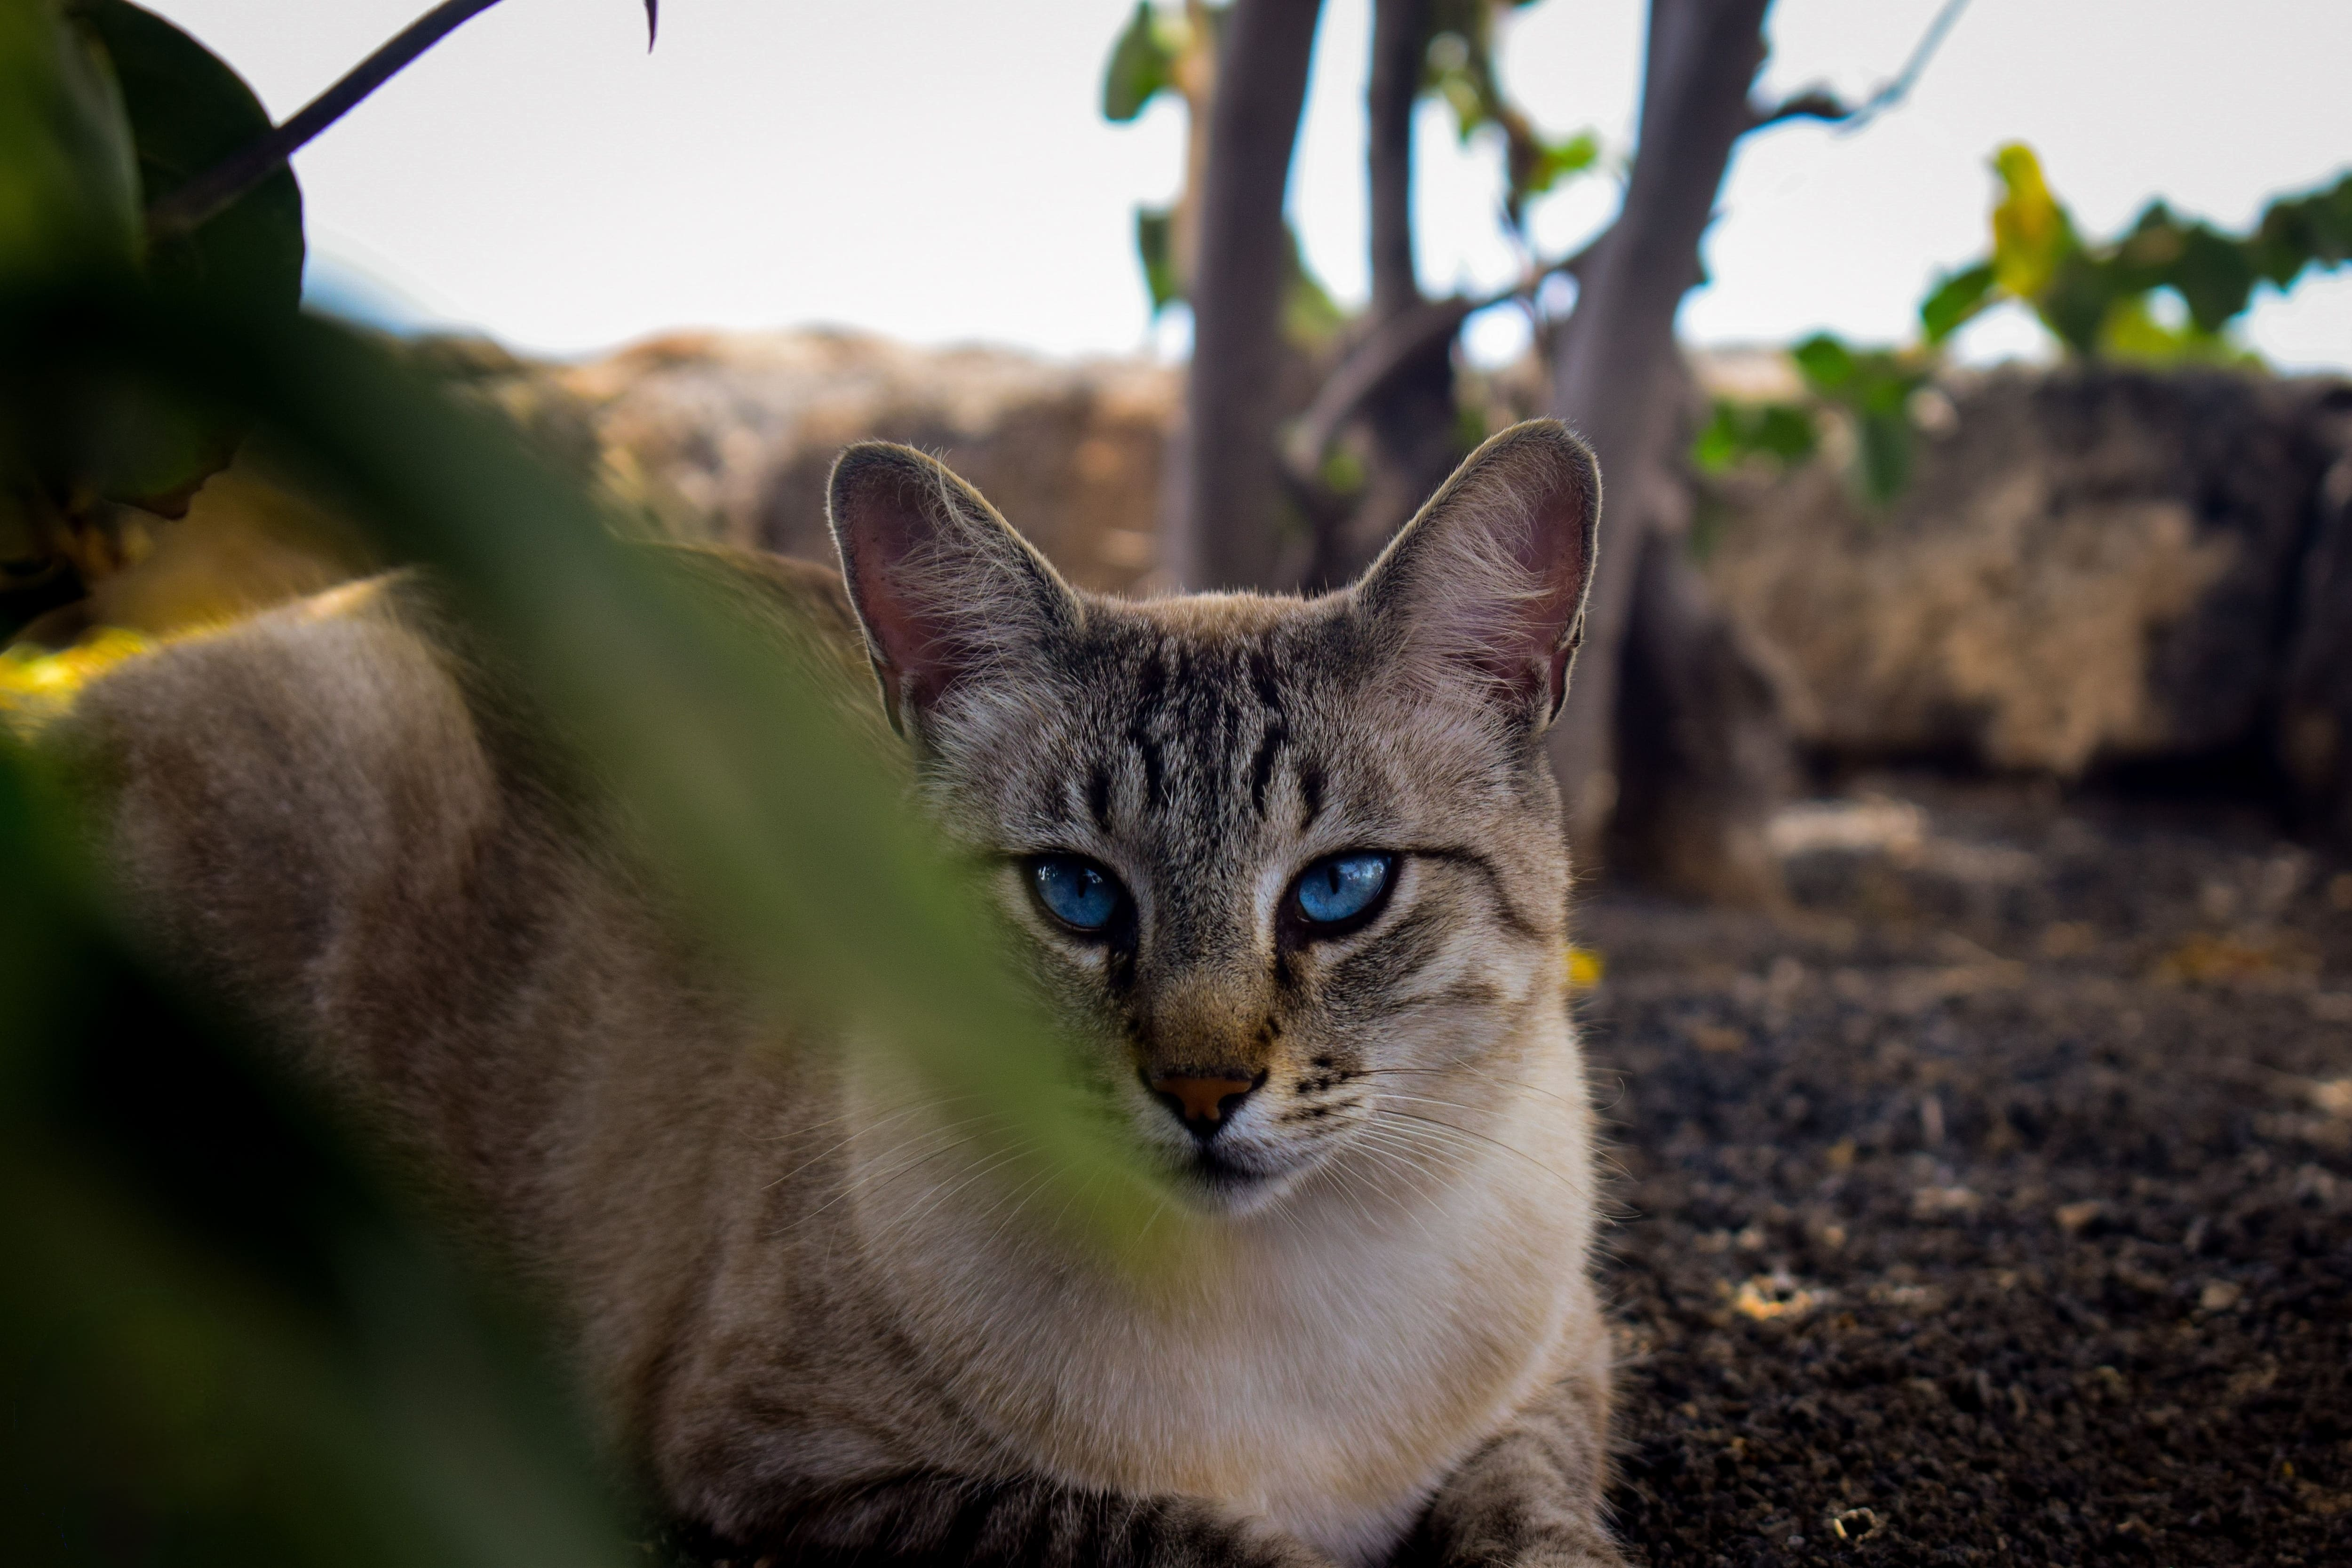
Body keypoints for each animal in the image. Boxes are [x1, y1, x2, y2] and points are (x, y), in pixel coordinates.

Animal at [64, 421, 1628, 1568]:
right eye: (1076, 895)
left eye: (1339, 889)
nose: (1202, 1092)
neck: (1279, 1322)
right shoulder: (800, 1466)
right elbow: (1200, 1543)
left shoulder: (1559, 1382)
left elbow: (1542, 1527)